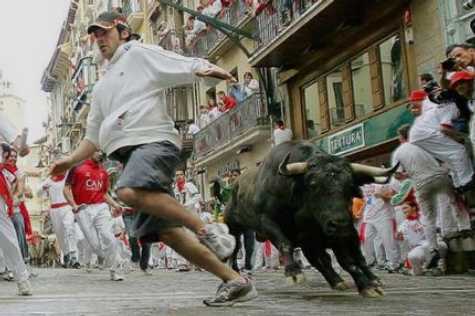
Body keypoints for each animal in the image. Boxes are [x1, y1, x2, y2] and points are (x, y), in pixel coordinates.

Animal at [224, 142, 398, 298]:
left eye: (350, 187)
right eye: (313, 185)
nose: (340, 224)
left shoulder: (326, 235)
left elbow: (347, 261)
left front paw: (367, 286)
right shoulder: (267, 221)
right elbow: (285, 244)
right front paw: (293, 273)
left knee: (356, 258)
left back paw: (369, 280)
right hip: (233, 227)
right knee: (235, 248)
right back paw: (234, 271)